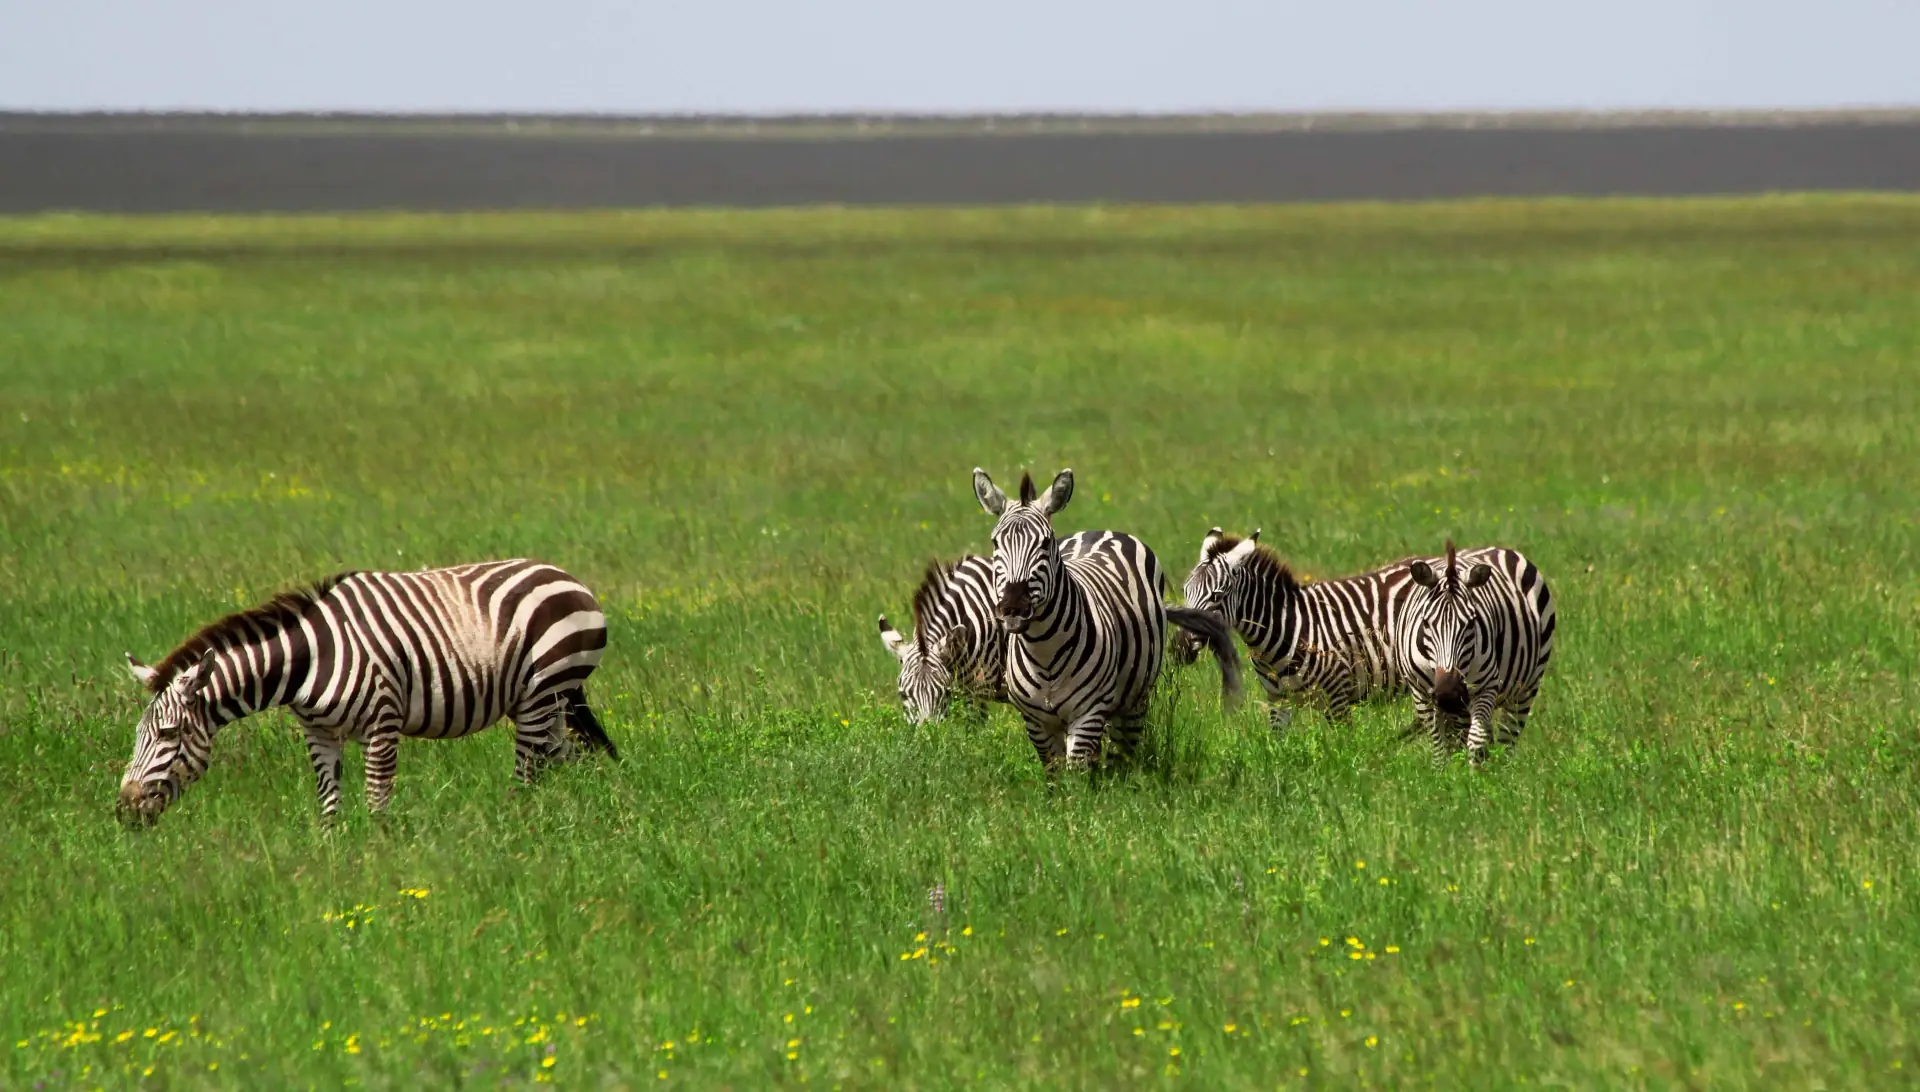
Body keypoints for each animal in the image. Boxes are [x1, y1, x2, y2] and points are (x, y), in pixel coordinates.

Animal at [116, 559, 612, 824]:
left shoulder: (383, 723)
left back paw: (517, 827)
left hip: (543, 692)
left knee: (528, 773)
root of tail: (566, 576)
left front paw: (379, 859)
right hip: (543, 701)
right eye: (137, 736)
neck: (310, 660)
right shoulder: (318, 734)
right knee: (568, 759)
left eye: (167, 735)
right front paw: (334, 860)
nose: (124, 810)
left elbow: (377, 802)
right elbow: (329, 804)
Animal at [972, 467, 1241, 767]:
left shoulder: (1089, 713)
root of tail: (1102, 531)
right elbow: (1056, 774)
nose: (1013, 607)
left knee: (1123, 753)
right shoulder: (1035, 722)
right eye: (995, 543)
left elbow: (1077, 773)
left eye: (1045, 543)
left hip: (1134, 700)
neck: (1044, 653)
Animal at [1395, 540, 1556, 763]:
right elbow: (1439, 748)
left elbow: (1476, 742)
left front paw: (1472, 773)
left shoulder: (1486, 686)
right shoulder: (1420, 693)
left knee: (1507, 739)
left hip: (1526, 689)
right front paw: (1445, 772)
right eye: (1426, 622)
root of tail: (1498, 548)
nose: (1448, 695)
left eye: (1471, 623)